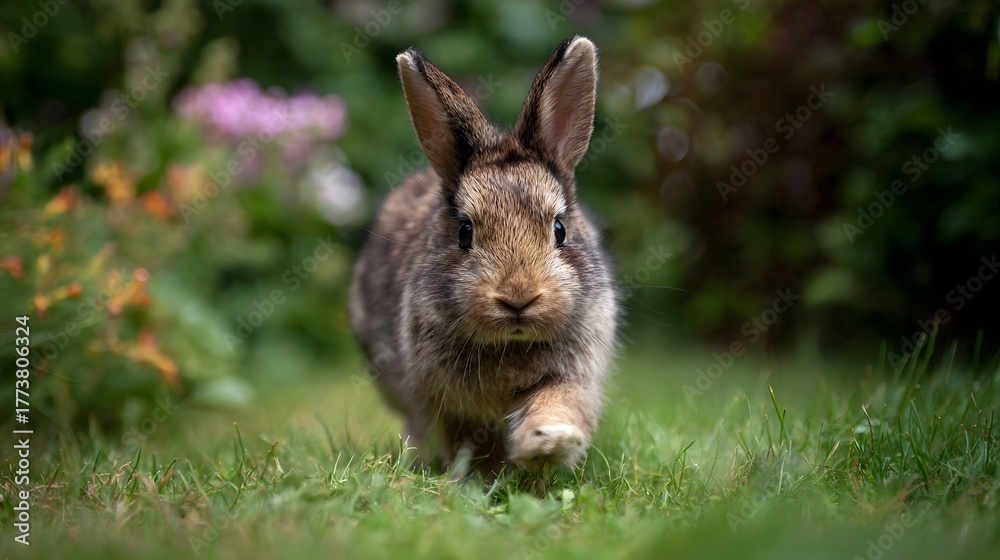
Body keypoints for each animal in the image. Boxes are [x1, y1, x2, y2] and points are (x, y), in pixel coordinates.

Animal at [349, 35, 619, 475]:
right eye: (465, 232)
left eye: (559, 230)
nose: (518, 297)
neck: (512, 344)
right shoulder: (444, 402)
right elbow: (464, 439)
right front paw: (480, 477)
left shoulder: (574, 376)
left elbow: (558, 404)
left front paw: (547, 443)